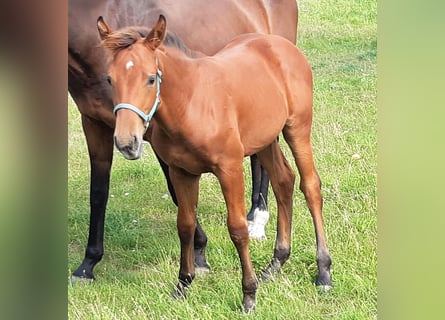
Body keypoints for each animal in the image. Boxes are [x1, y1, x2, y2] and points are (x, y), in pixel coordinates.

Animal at [68, 1, 298, 282]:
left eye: (151, 79)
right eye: (110, 79)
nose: (127, 143)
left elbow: (175, 190)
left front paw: (199, 255)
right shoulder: (93, 122)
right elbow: (98, 192)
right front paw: (88, 263)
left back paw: (257, 218)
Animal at [97, 15, 332, 312]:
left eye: (150, 79)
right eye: (110, 79)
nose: (127, 142)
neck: (191, 104)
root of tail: (281, 45)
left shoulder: (229, 169)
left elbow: (238, 229)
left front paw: (249, 295)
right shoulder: (181, 172)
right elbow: (185, 225)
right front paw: (183, 284)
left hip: (297, 128)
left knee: (310, 186)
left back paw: (323, 271)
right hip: (265, 139)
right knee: (283, 181)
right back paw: (276, 263)